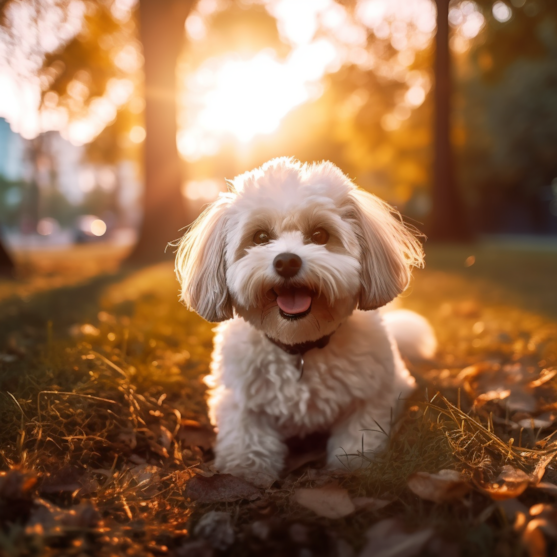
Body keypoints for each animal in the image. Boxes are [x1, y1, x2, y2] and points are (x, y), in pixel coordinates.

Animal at [176, 159, 436, 484]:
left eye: (320, 235)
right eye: (260, 237)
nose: (287, 261)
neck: (299, 345)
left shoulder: (374, 395)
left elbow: (359, 433)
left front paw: (354, 468)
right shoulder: (239, 399)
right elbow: (247, 435)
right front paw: (246, 471)